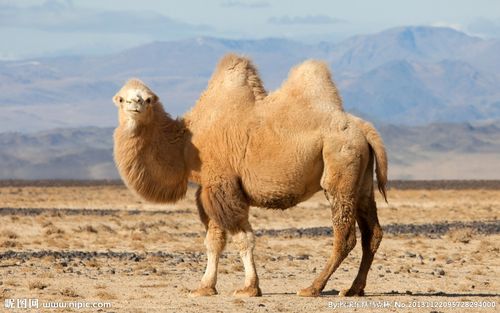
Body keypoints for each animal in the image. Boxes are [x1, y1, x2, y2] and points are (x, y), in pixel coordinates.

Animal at [112, 53, 386, 298]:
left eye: (148, 99)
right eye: (122, 98)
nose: (135, 104)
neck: (187, 144)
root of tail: (364, 128)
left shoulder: (223, 185)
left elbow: (242, 238)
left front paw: (249, 288)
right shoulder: (209, 189)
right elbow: (214, 241)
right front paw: (205, 287)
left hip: (340, 167)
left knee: (345, 235)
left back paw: (312, 288)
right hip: (361, 181)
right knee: (372, 233)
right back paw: (353, 289)